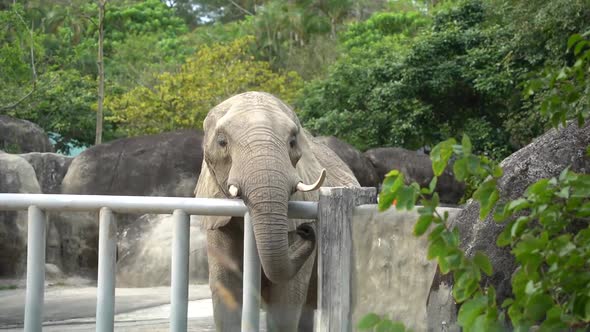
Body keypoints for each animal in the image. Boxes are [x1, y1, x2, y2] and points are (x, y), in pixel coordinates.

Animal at [195, 91, 360, 332]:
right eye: (222, 142)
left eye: (292, 142)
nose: (306, 230)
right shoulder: (220, 222)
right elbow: (226, 291)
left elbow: (285, 299)